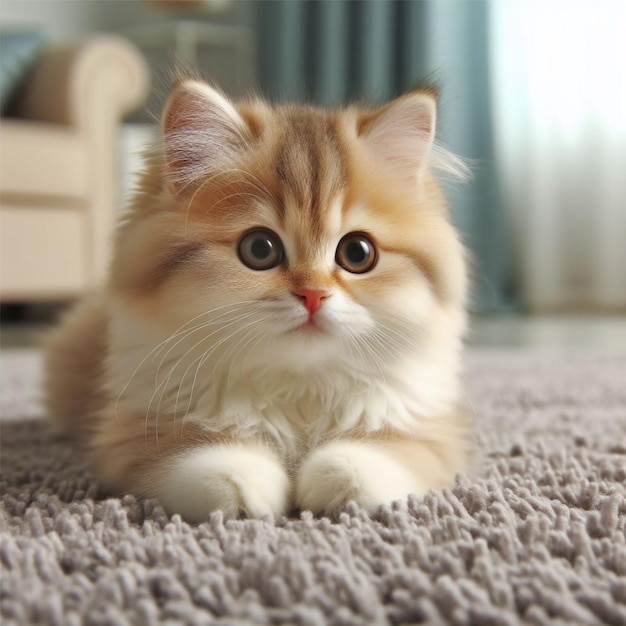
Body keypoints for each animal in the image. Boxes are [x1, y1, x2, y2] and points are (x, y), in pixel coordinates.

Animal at [44, 78, 470, 520]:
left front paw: (338, 482)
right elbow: (200, 456)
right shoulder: (136, 429)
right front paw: (244, 486)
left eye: (357, 253)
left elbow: (370, 458)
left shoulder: (428, 428)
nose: (313, 295)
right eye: (259, 249)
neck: (297, 389)